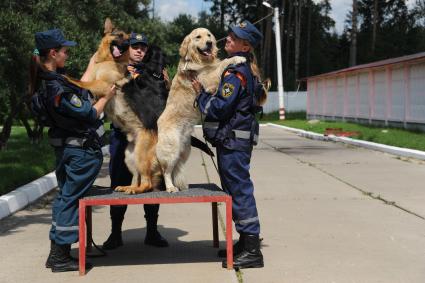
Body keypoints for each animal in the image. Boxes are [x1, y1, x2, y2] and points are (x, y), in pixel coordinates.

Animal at [155, 28, 245, 193]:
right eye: (198, 37)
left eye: (209, 35)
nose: (209, 43)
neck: (202, 61)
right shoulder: (208, 80)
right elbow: (223, 63)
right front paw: (237, 58)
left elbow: (219, 64)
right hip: (171, 150)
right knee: (166, 171)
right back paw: (170, 187)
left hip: (184, 150)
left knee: (176, 167)